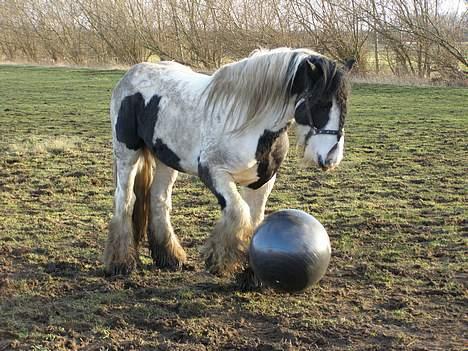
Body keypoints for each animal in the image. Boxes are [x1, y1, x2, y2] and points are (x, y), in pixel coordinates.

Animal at [104, 48, 354, 280]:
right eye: (321, 103)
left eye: (344, 104)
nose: (332, 157)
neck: (250, 124)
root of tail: (134, 72)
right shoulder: (213, 173)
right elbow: (238, 211)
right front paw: (221, 261)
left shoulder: (262, 182)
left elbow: (255, 222)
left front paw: (252, 277)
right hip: (127, 154)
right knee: (126, 200)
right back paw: (121, 263)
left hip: (166, 160)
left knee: (159, 200)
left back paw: (170, 258)